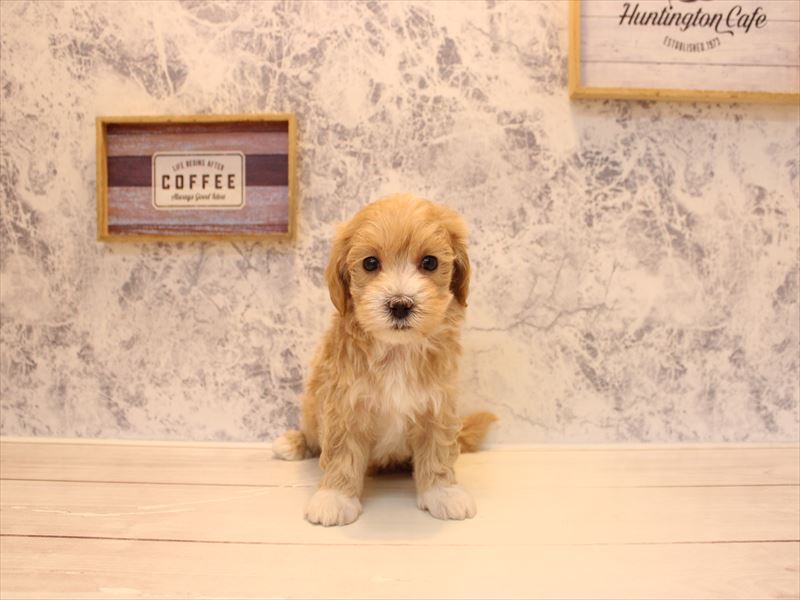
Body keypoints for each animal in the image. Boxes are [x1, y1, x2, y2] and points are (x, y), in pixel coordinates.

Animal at [273, 194, 496, 526]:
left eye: (430, 262)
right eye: (370, 263)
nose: (400, 304)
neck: (397, 351)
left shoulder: (439, 405)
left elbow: (439, 449)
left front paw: (443, 492)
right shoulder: (343, 404)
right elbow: (340, 452)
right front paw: (334, 498)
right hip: (312, 403)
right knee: (312, 434)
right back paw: (292, 443)